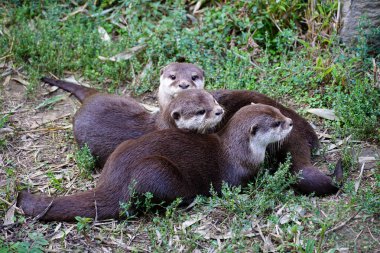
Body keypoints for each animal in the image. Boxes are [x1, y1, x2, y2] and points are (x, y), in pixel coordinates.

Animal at [16, 104, 292, 220]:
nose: (290, 122)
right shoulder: (238, 174)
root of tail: (112, 183)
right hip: (155, 169)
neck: (238, 151)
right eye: (276, 123)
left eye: (279, 113)